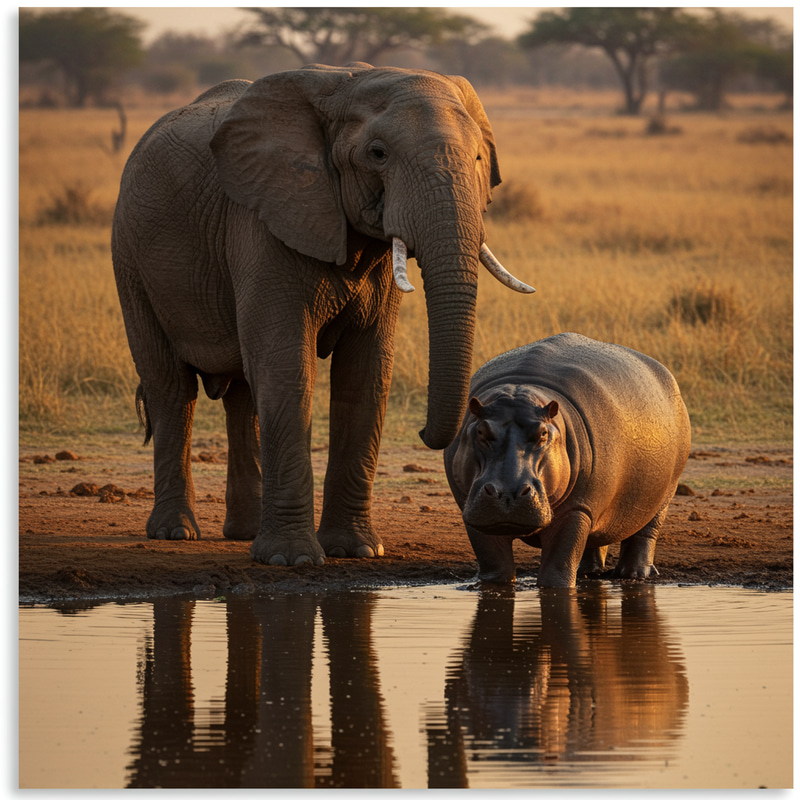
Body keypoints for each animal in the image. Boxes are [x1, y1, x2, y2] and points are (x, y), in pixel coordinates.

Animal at [111, 63, 533, 567]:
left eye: (478, 158)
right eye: (377, 154)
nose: (426, 431)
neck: (346, 85)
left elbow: (365, 373)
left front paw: (358, 550)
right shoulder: (264, 218)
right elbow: (287, 365)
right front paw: (291, 560)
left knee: (244, 396)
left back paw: (243, 534)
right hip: (130, 257)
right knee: (172, 388)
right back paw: (177, 532)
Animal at [443, 332, 691, 588]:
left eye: (543, 433)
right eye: (481, 431)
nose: (507, 493)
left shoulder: (577, 508)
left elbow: (558, 566)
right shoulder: (471, 508)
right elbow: (495, 566)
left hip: (665, 493)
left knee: (645, 533)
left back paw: (634, 574)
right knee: (594, 538)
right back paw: (587, 571)